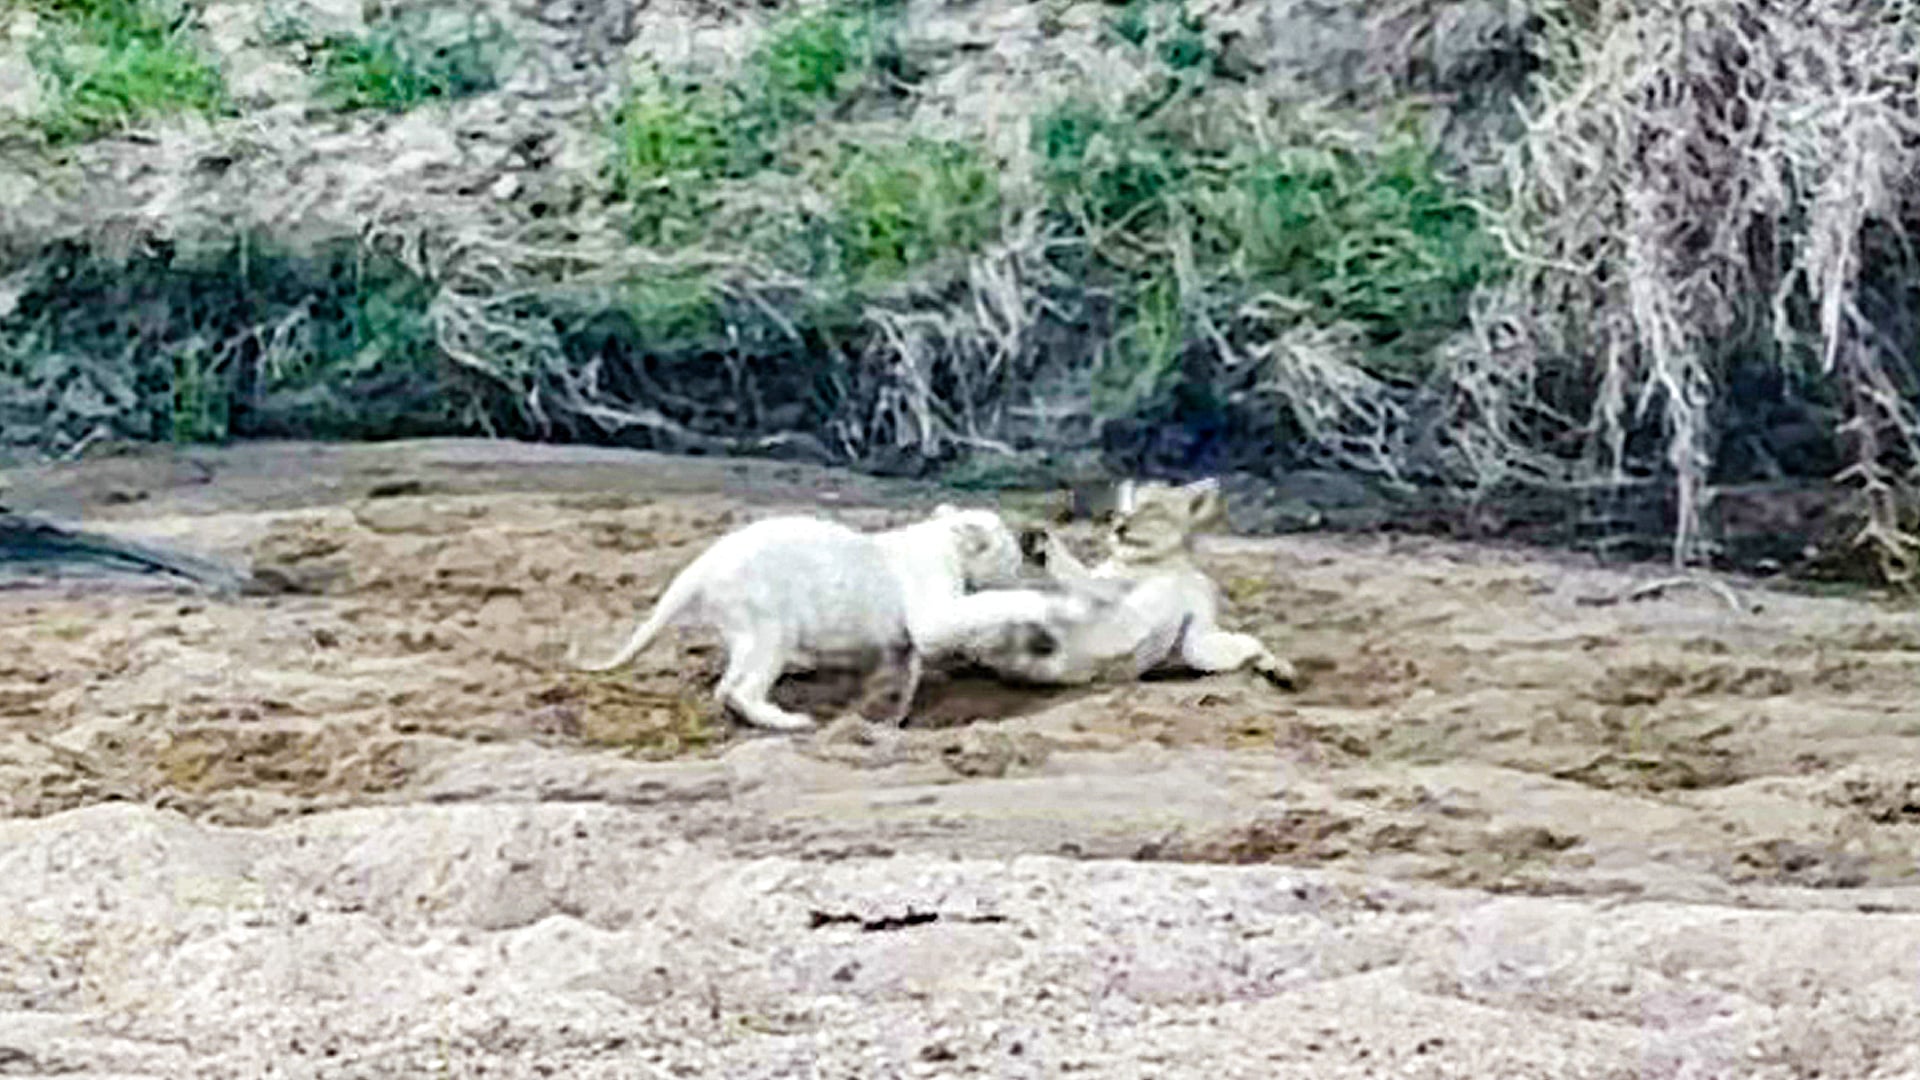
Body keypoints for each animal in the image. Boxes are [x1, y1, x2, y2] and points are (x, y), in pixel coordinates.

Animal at [574, 505, 1030, 731]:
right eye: (1010, 547)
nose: (1025, 558)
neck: (943, 539)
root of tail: (701, 566)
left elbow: (902, 667)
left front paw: (890, 713)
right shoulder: (929, 590)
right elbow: (944, 623)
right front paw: (1029, 600)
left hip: (743, 624)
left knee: (728, 684)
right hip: (766, 616)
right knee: (743, 685)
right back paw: (791, 721)